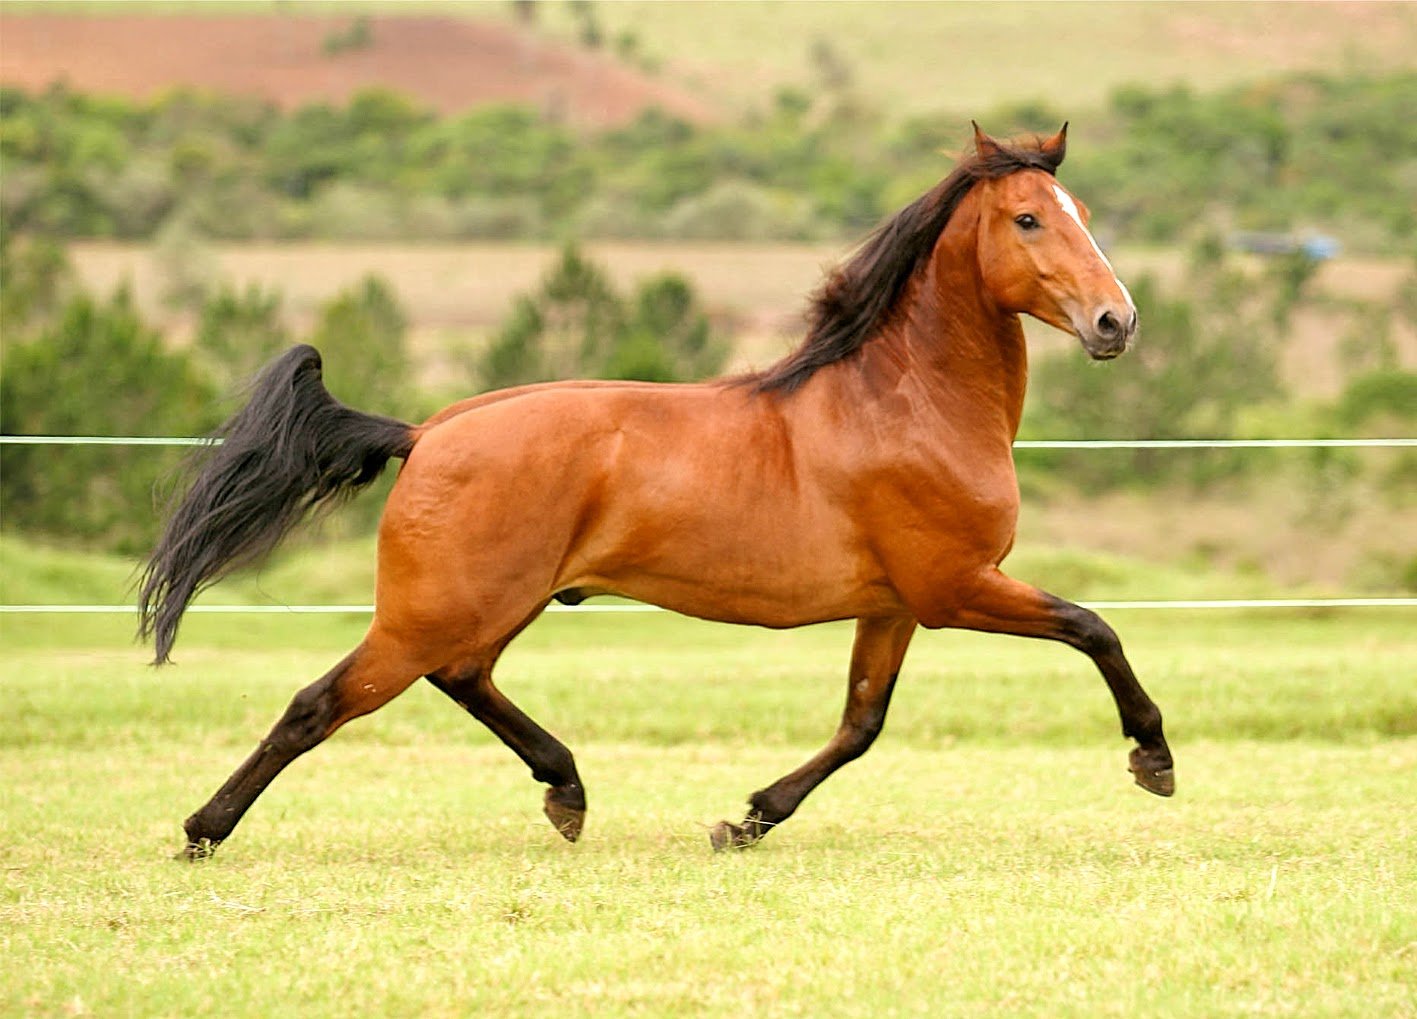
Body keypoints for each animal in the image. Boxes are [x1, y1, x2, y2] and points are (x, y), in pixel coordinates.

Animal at [138, 125, 1173, 861]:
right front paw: (1152, 757)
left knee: (463, 678)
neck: (906, 403)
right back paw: (202, 829)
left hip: (492, 605)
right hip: (434, 611)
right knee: (319, 704)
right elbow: (1093, 628)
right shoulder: (956, 586)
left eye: (1081, 208)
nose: (1115, 321)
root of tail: (427, 432)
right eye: (1029, 219)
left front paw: (747, 818)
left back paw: (566, 791)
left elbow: (860, 723)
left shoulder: (896, 605)